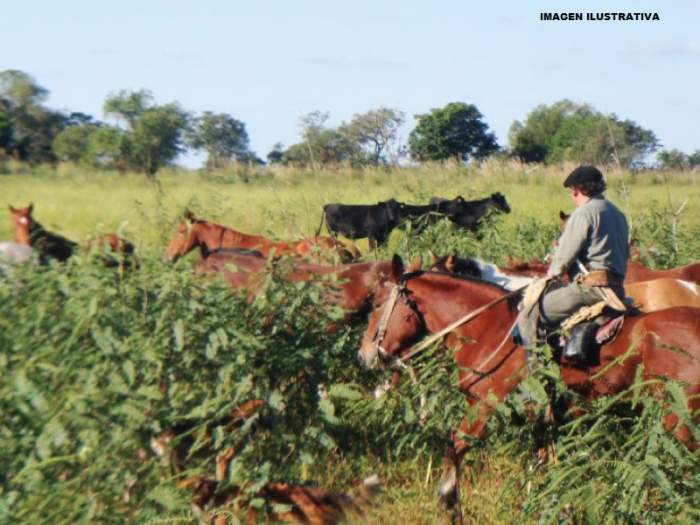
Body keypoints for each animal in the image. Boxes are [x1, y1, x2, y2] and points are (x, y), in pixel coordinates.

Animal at [358, 254, 700, 520]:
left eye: (377, 304)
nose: (364, 355)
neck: (490, 328)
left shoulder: (484, 406)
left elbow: (454, 446)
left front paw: (449, 504)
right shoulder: (543, 419)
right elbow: (547, 465)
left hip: (680, 420)